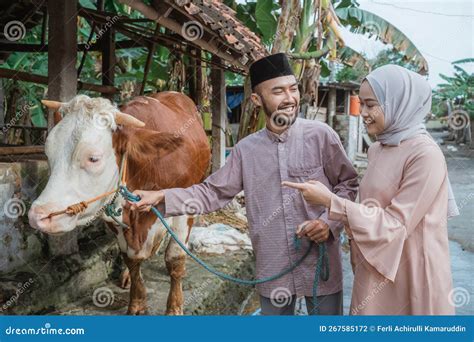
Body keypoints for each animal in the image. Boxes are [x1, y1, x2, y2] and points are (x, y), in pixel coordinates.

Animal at [27, 91, 209, 316]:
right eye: (48, 153)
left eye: (93, 158)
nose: (38, 215)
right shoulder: (114, 214)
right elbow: (130, 259)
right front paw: (137, 302)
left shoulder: (186, 206)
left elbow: (174, 258)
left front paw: (174, 307)